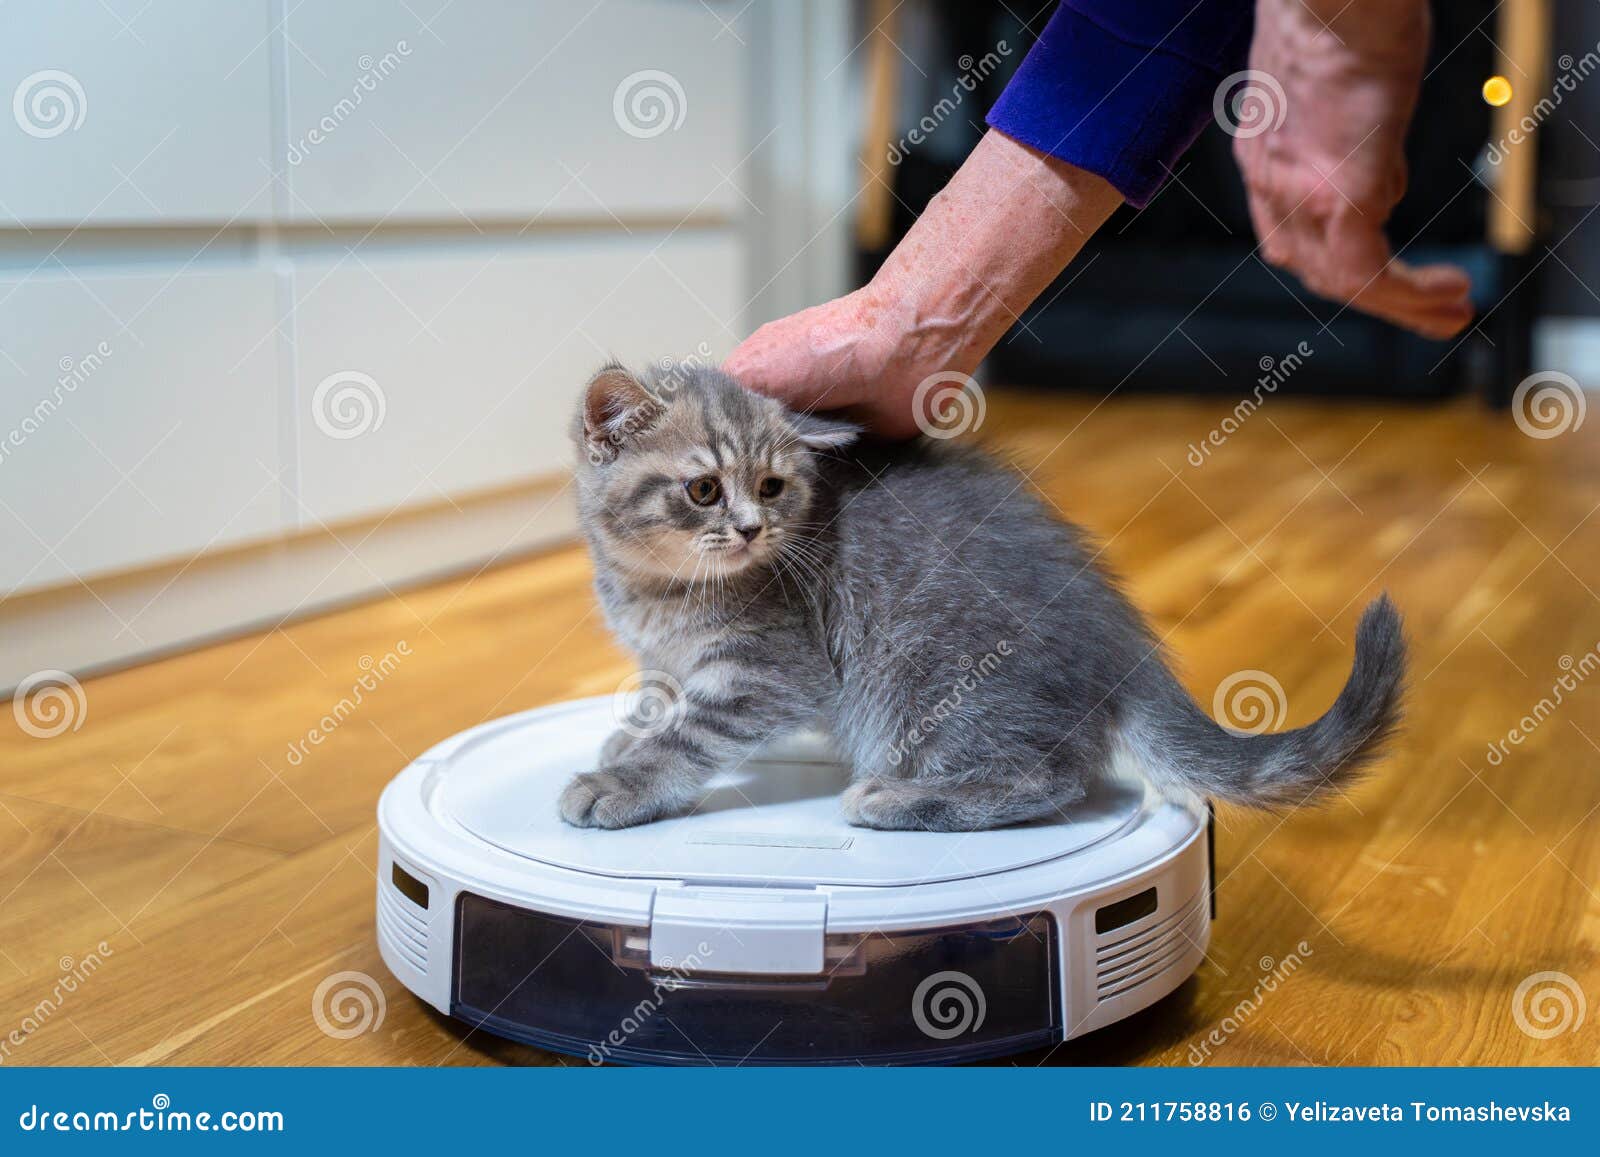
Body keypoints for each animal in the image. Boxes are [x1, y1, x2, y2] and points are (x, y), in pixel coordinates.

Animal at [560, 364, 1401, 832]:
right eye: (704, 489)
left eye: (771, 486)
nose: (750, 527)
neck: (656, 586)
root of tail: (1122, 643)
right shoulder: (668, 657)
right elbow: (662, 698)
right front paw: (630, 736)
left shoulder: (771, 669)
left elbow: (692, 734)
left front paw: (625, 782)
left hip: (929, 682)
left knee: (1048, 777)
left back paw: (896, 799)